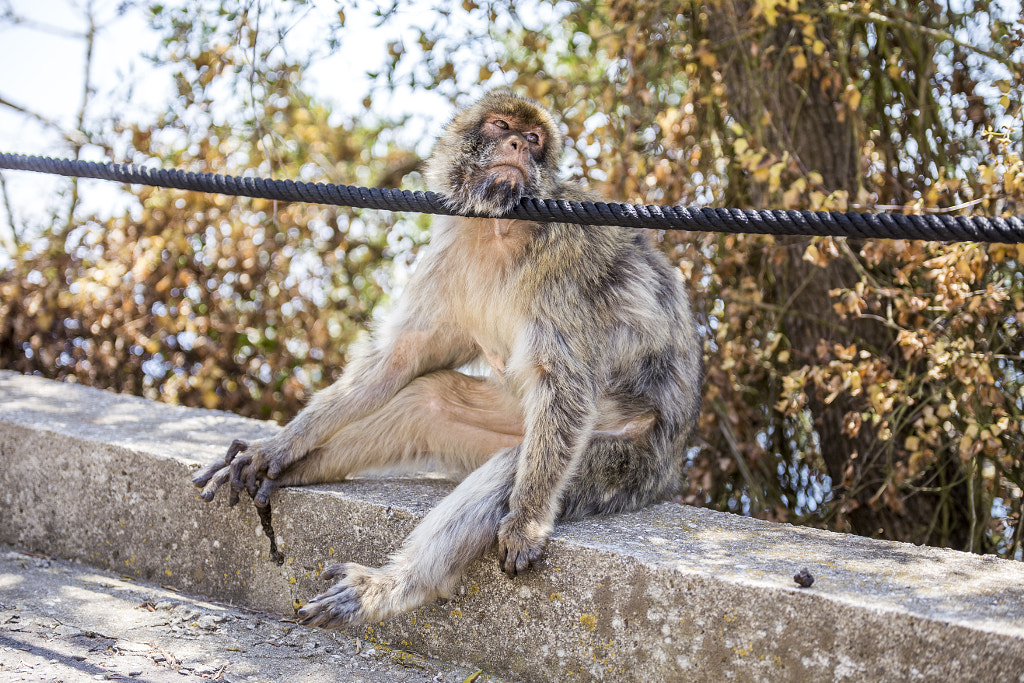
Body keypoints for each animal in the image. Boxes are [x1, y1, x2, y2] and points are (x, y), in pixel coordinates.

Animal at [192, 88, 704, 626]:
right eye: (501, 126)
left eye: (535, 139)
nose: (519, 145)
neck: (501, 229)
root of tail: (674, 461)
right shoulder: (449, 250)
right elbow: (401, 358)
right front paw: (278, 449)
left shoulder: (566, 257)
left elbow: (563, 382)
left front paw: (526, 523)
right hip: (511, 419)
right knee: (428, 399)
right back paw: (297, 472)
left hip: (630, 462)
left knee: (513, 468)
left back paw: (387, 589)